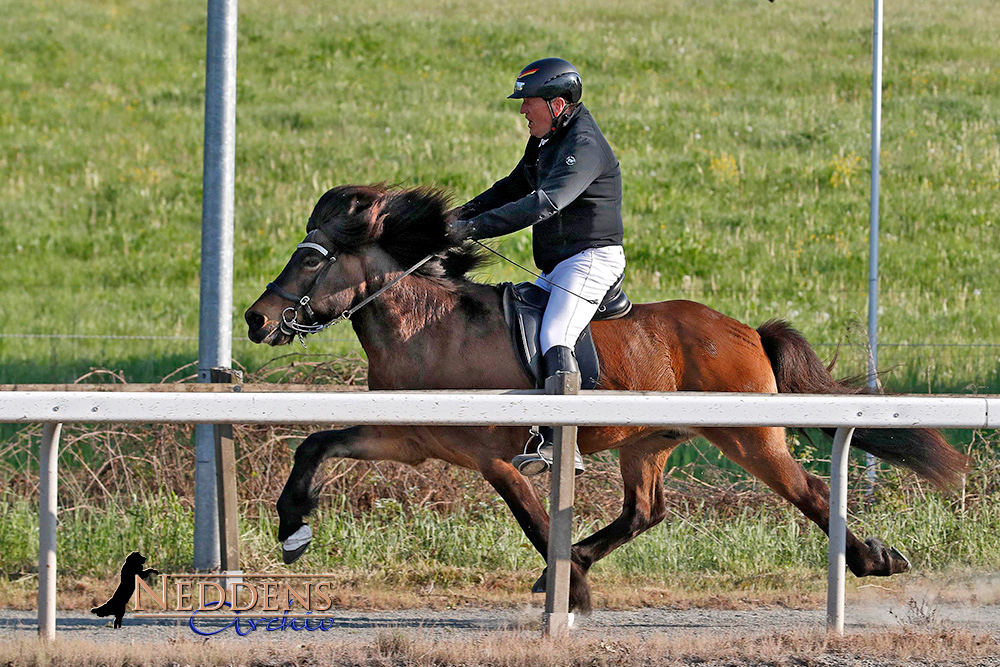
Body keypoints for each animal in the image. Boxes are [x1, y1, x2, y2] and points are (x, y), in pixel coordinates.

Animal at [244, 185, 968, 612]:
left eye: (312, 258)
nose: (256, 319)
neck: (432, 327)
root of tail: (745, 330)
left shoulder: (497, 458)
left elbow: (536, 523)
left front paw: (577, 596)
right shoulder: (410, 437)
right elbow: (317, 443)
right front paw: (293, 528)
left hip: (751, 437)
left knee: (811, 491)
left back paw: (872, 558)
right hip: (646, 442)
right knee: (644, 511)